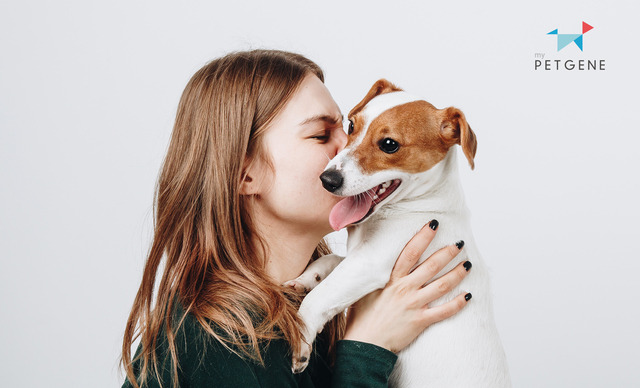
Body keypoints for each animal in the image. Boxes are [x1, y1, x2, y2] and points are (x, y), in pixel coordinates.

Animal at [288, 77, 512, 386]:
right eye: (351, 126)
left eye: (389, 144)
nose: (327, 179)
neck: (423, 204)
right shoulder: (359, 257)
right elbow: (331, 261)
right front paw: (307, 277)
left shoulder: (371, 262)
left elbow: (320, 297)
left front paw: (302, 338)